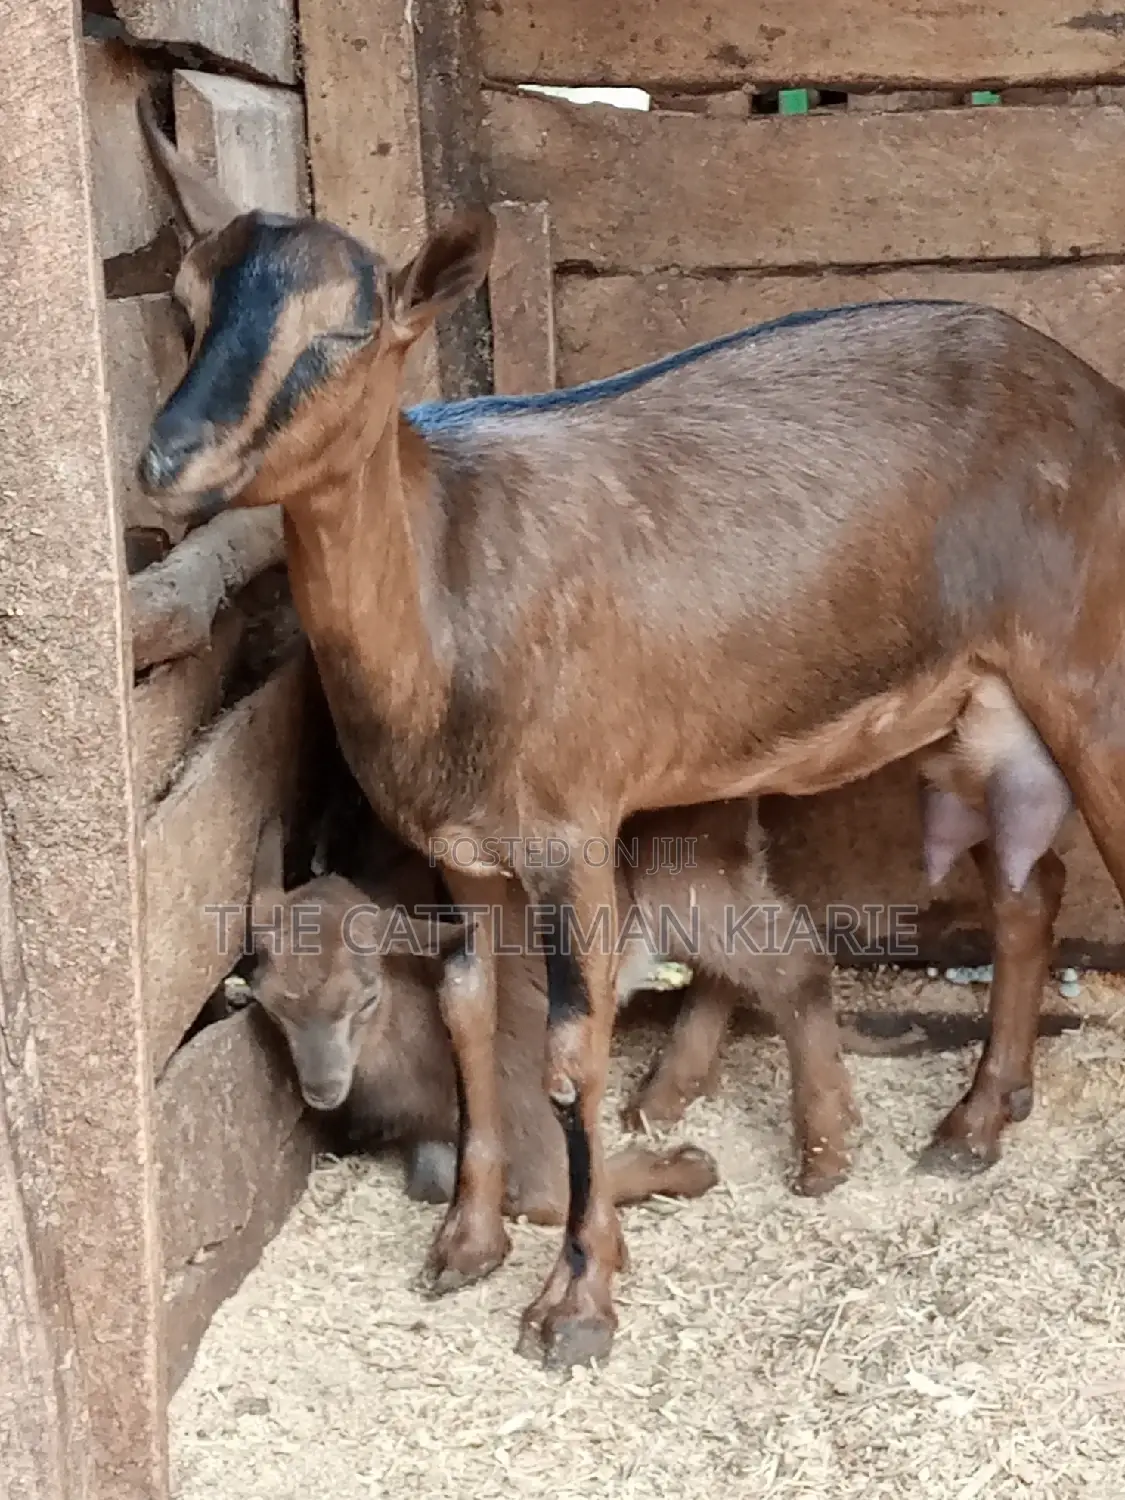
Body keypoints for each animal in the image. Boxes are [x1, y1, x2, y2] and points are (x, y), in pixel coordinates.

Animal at [136, 96, 1125, 1371]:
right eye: (187, 301)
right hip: (975, 708)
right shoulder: (465, 852)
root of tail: (1098, 397)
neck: (447, 590)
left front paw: (577, 1304)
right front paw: (465, 1245)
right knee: (1025, 886)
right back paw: (972, 1119)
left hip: (1088, 672)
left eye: (347, 332)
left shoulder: (572, 827)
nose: (166, 461)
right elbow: (465, 1011)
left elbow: (571, 1054)